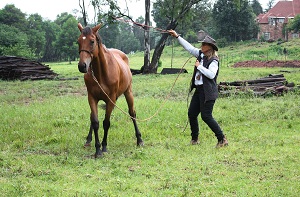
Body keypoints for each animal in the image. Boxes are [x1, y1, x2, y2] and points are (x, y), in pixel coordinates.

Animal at [77, 23, 144, 158]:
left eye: (92, 41)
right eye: (78, 42)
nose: (82, 66)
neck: (101, 73)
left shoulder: (111, 99)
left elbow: (106, 123)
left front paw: (104, 147)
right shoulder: (92, 98)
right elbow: (95, 122)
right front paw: (97, 149)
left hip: (128, 92)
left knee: (132, 113)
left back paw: (139, 140)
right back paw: (88, 140)